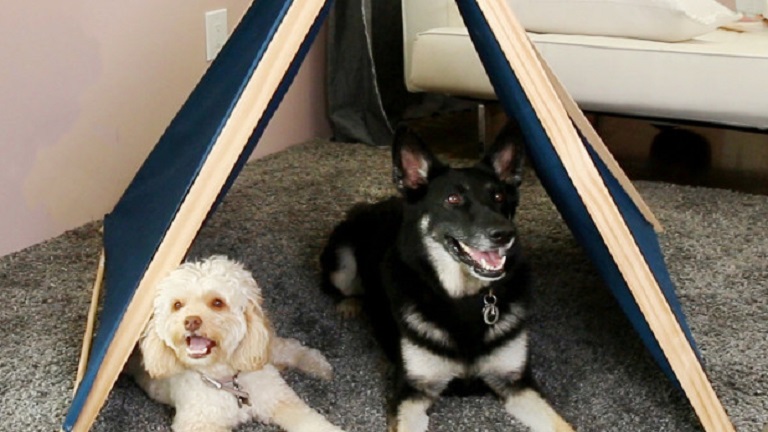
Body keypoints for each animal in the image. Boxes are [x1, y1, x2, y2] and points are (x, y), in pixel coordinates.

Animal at [129, 255, 346, 432]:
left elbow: (312, 421)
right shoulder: (199, 423)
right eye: (177, 305)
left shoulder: (279, 399)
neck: (225, 380)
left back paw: (318, 366)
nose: (191, 321)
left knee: (289, 347)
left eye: (217, 303)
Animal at [320, 123, 574, 432]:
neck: (462, 298)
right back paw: (352, 304)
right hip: (342, 265)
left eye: (499, 197)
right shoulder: (412, 393)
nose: (505, 234)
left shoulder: (517, 384)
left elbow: (563, 425)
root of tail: (371, 205)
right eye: (453, 199)